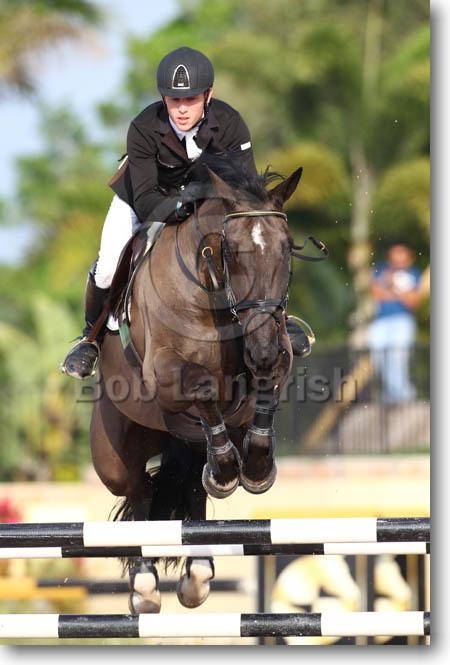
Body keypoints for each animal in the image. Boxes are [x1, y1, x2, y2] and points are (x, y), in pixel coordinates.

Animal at [88, 159, 303, 613]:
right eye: (229, 251)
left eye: (288, 247)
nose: (261, 349)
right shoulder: (165, 371)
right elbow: (202, 387)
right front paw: (227, 468)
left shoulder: (276, 354)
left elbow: (266, 388)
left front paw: (255, 468)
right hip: (114, 455)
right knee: (138, 492)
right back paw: (144, 586)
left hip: (182, 448)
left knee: (190, 489)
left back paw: (199, 572)